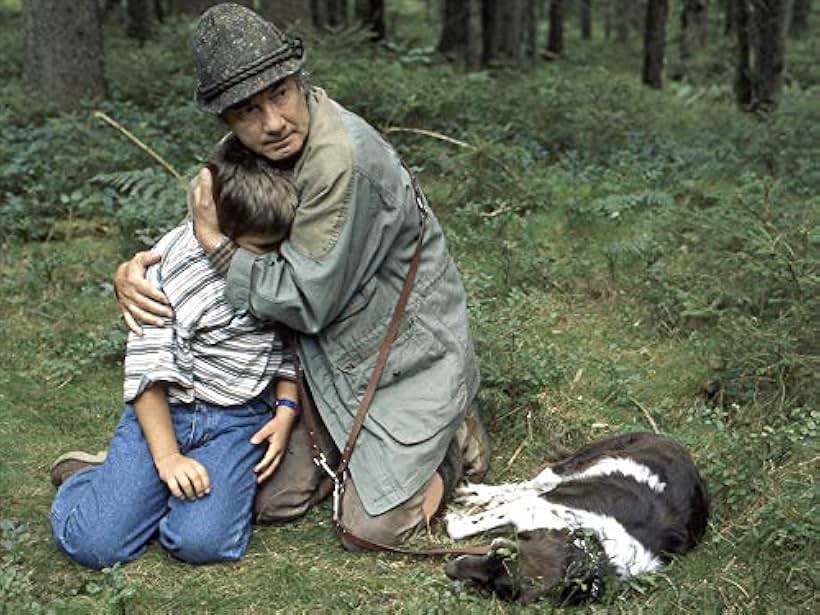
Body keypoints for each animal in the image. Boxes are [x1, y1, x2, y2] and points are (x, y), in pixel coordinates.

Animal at [446, 434, 708, 608]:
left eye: (497, 587)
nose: (449, 570)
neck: (593, 551)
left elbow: (462, 527)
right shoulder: (531, 509)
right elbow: (460, 528)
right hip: (575, 464)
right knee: (532, 484)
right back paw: (476, 493)